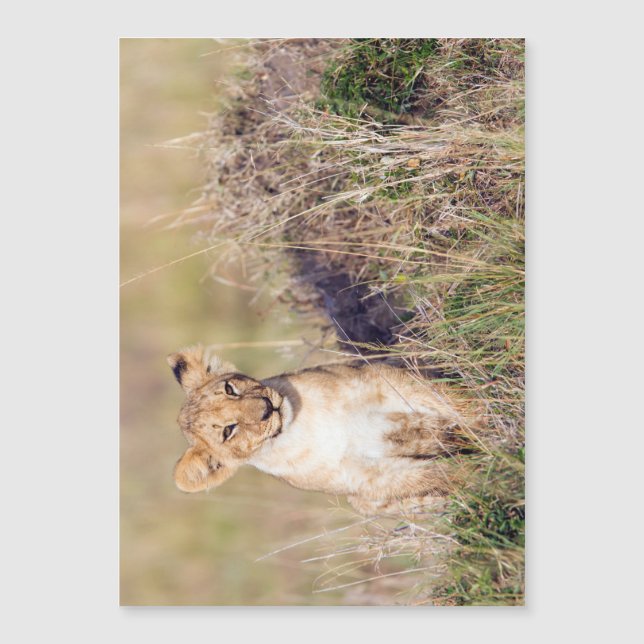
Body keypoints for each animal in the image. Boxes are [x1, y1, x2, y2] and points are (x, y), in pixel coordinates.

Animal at [167, 345, 479, 515]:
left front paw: (489, 412)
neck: (305, 426)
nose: (267, 407)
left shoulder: (383, 382)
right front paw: (485, 472)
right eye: (228, 432)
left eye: (230, 389)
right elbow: (439, 475)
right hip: (365, 503)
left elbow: (458, 405)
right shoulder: (370, 478)